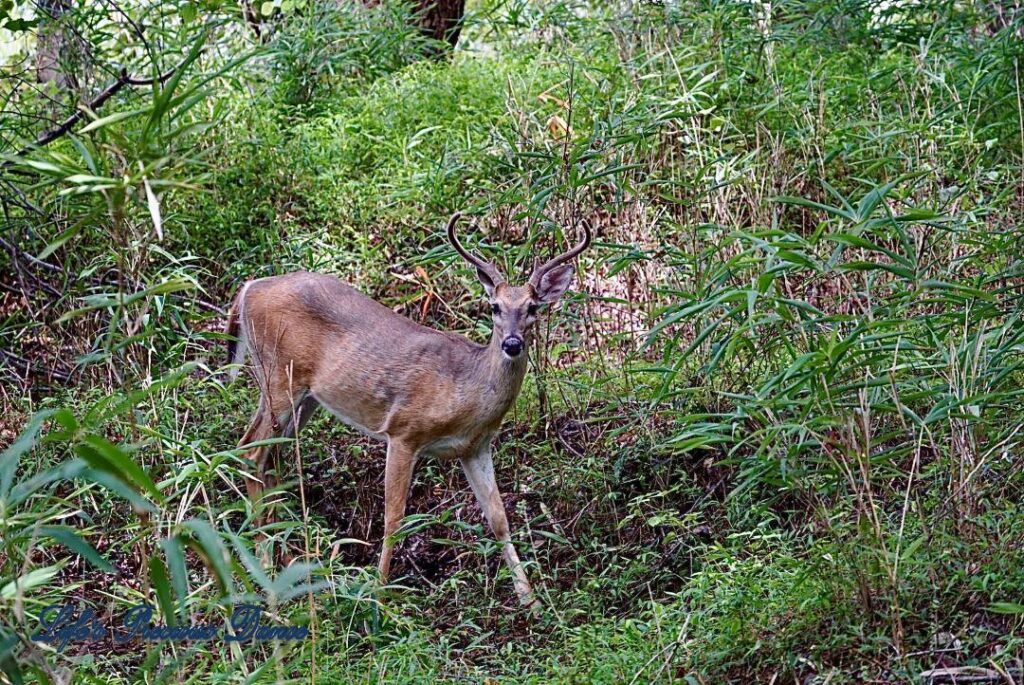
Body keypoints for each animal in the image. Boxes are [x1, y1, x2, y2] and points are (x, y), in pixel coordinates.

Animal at [224, 211, 593, 602]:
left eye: (532, 307)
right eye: (495, 307)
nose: (511, 343)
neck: (466, 392)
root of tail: (248, 288)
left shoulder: (475, 447)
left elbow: (499, 519)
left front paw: (530, 599)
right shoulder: (404, 430)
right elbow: (394, 518)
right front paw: (379, 591)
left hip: (305, 395)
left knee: (272, 456)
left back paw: (283, 556)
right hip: (278, 376)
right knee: (250, 449)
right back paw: (263, 559)